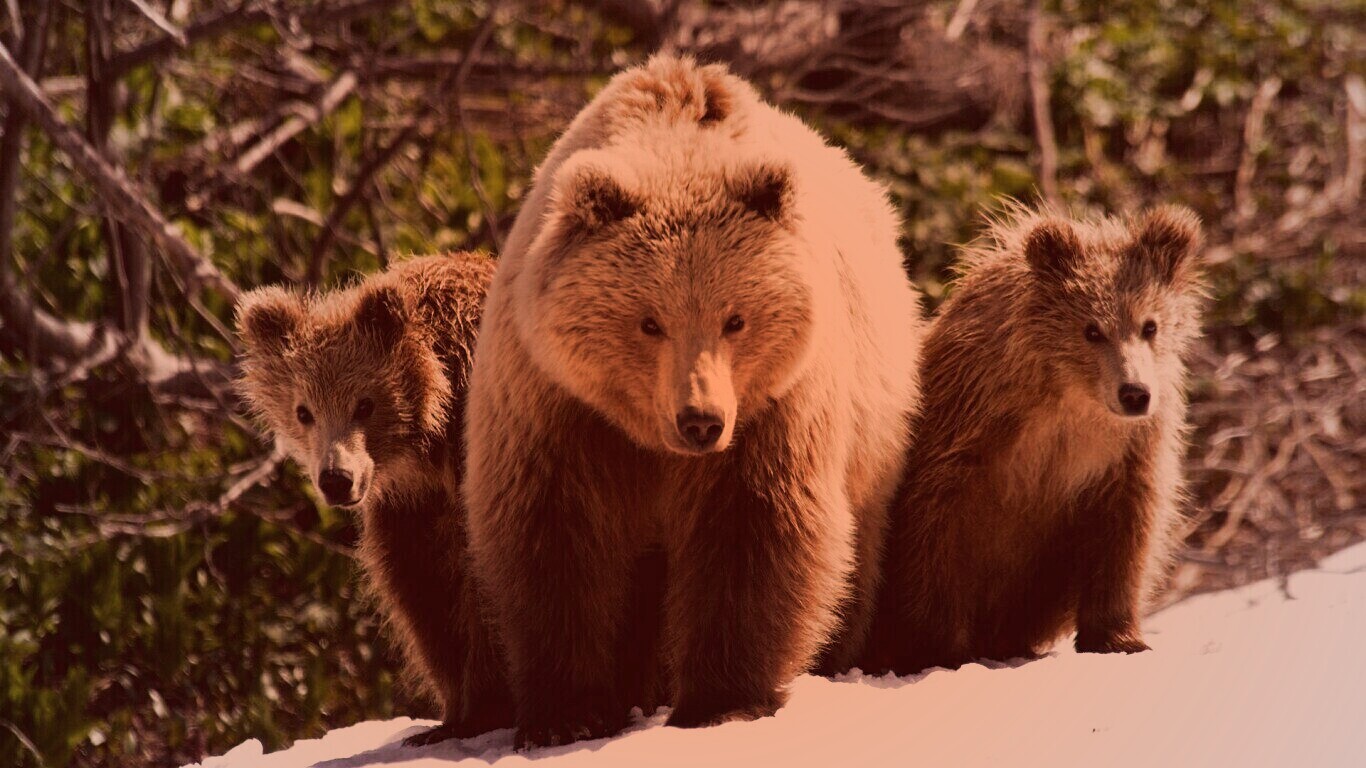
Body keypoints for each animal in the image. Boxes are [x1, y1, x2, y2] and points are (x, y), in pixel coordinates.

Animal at [234, 251, 513, 743]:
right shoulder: (411, 508)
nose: (336, 479)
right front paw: (451, 715)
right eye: (304, 411)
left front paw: (487, 708)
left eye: (364, 403)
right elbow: (423, 592)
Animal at [461, 55, 928, 748]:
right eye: (649, 321)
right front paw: (566, 712)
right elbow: (555, 538)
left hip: (873, 436)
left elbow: (754, 528)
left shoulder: (773, 410)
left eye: (735, 318)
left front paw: (721, 700)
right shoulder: (558, 407)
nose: (700, 420)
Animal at [863, 202, 1207, 669]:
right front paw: (938, 646)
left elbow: (1127, 530)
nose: (1134, 393)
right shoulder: (971, 426)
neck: (1070, 397)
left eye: (1149, 325)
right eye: (1092, 329)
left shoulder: (1127, 451)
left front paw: (1120, 638)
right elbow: (934, 526)